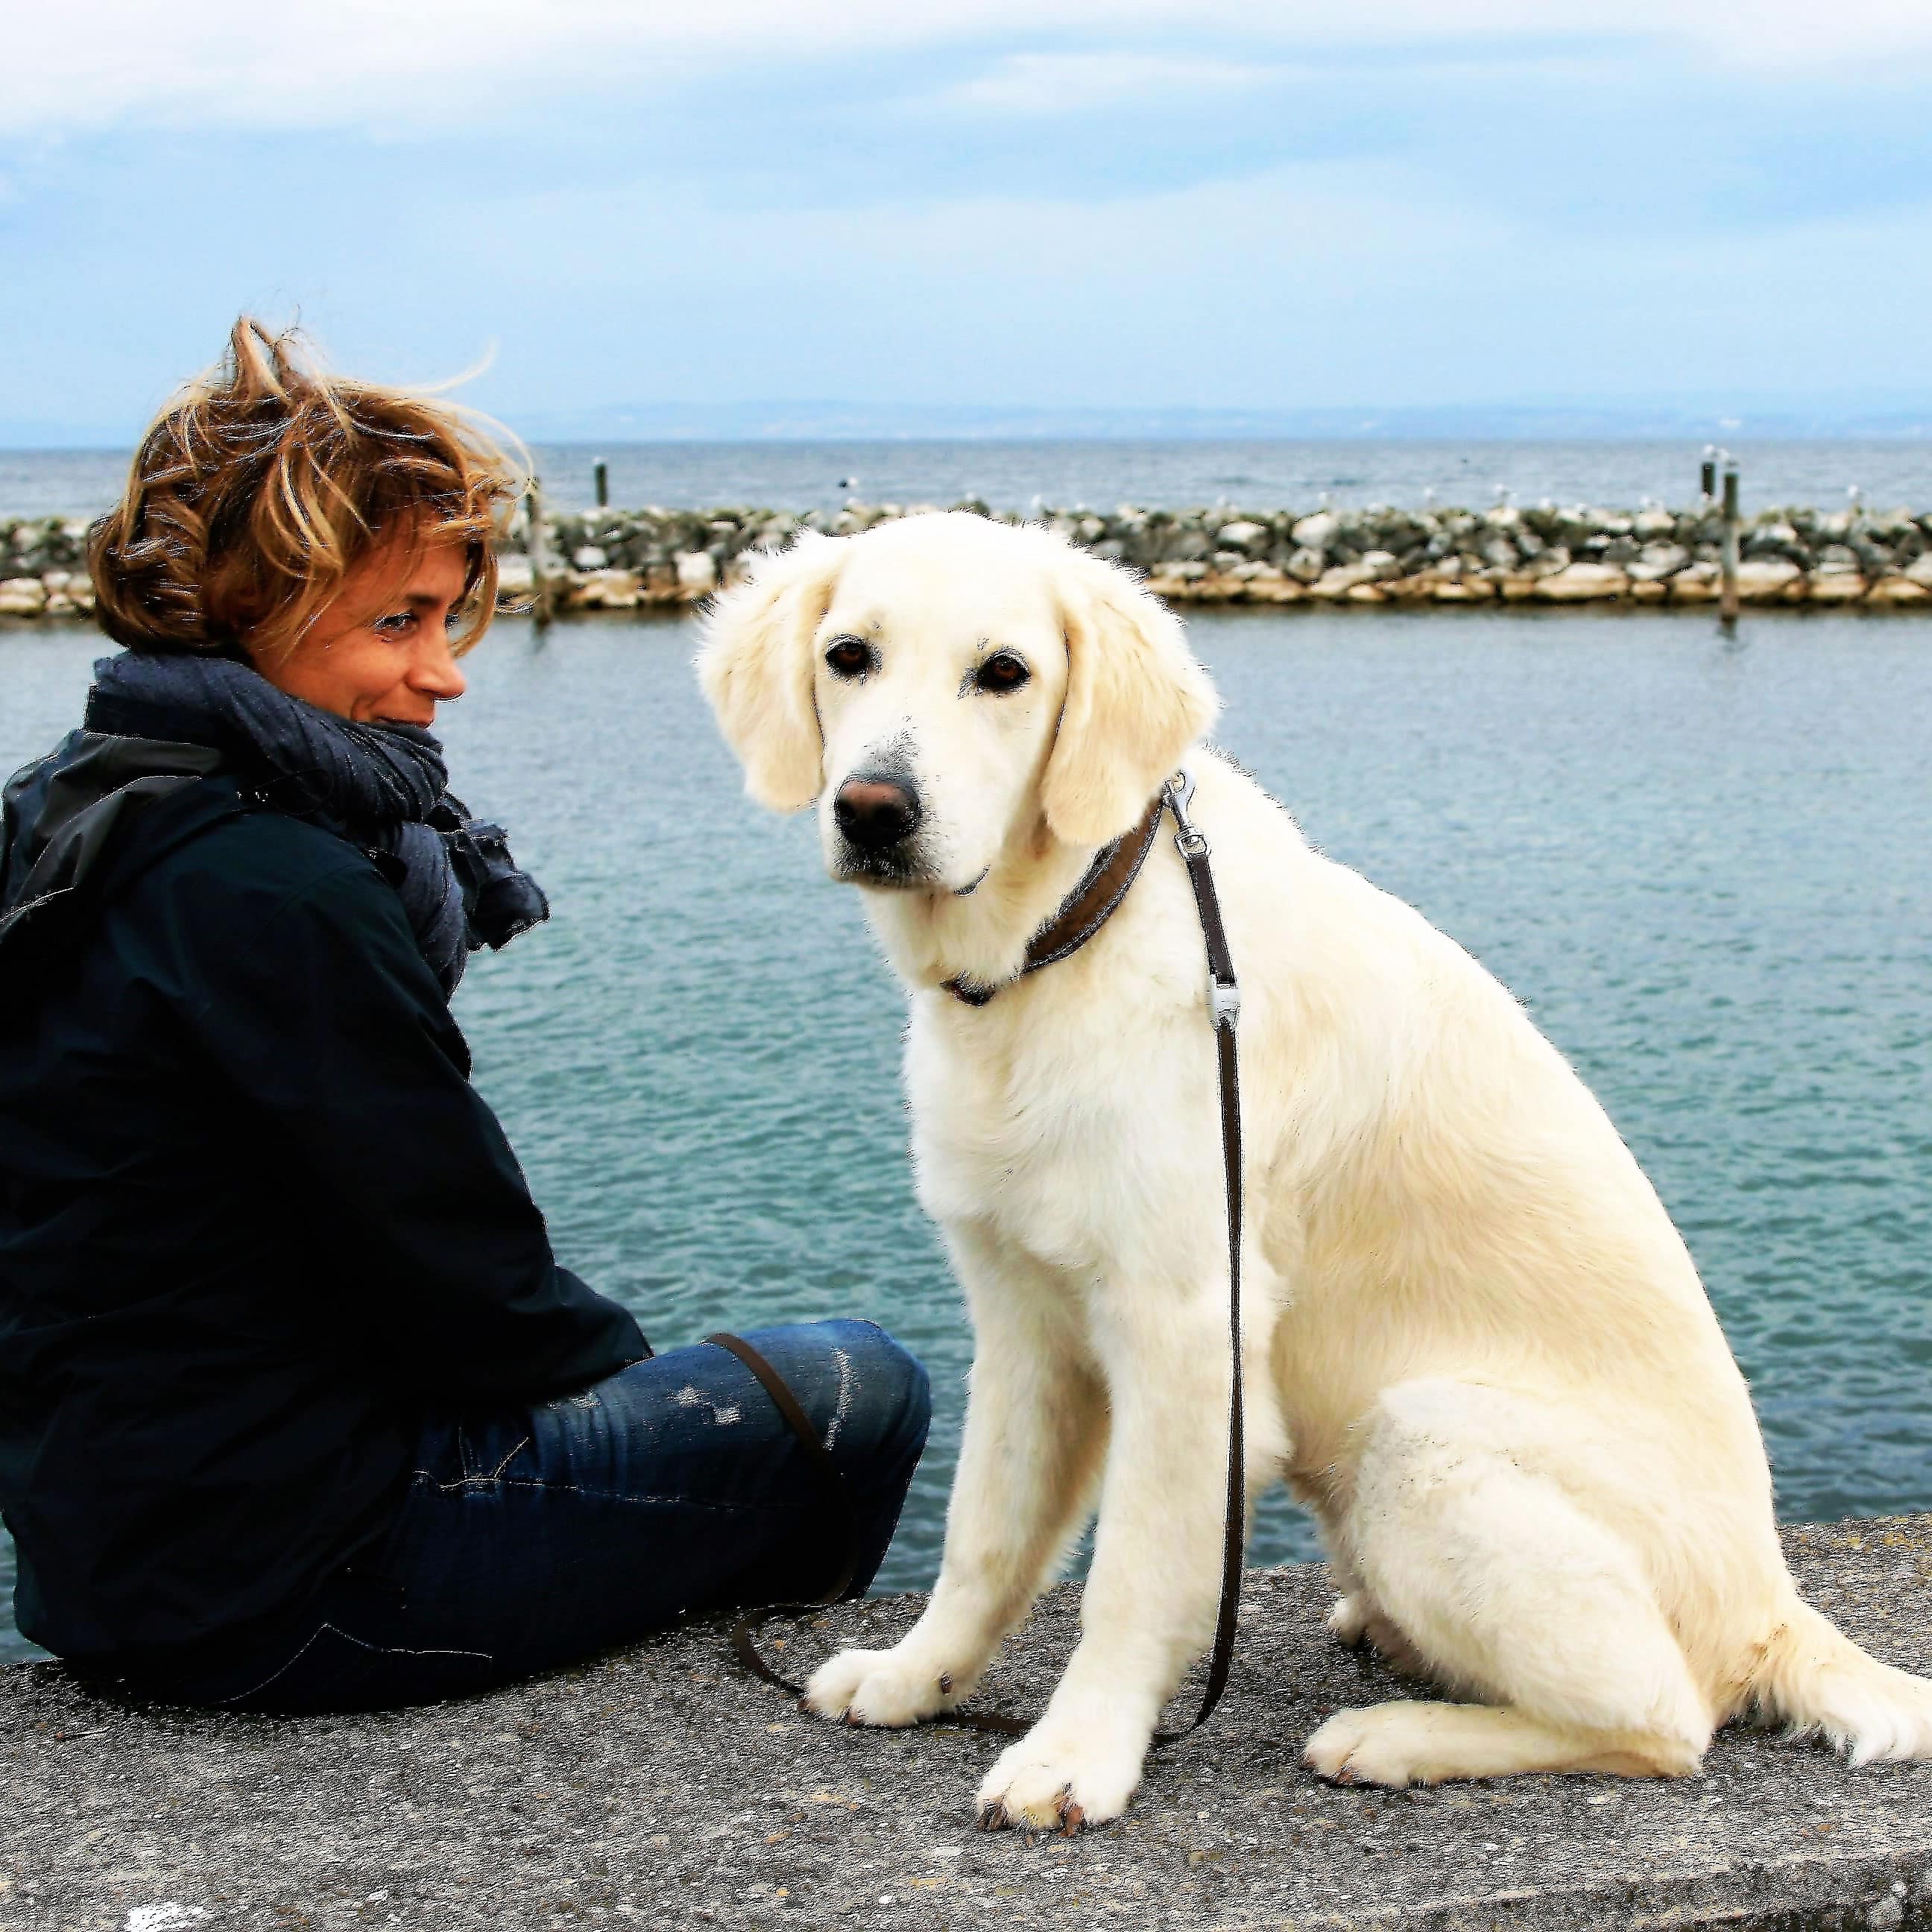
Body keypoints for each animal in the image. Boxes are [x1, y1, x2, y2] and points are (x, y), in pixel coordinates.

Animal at [695, 510, 1932, 1823]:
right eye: (849, 655)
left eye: (1005, 672)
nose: (874, 810)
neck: (1060, 944)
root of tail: (1773, 1608)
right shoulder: (1024, 1319)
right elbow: (986, 1534)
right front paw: (914, 1675)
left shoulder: (1190, 1327)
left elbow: (1129, 1576)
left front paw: (1076, 1752)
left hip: (1425, 1433)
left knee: (1663, 1719)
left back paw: (1397, 1737)